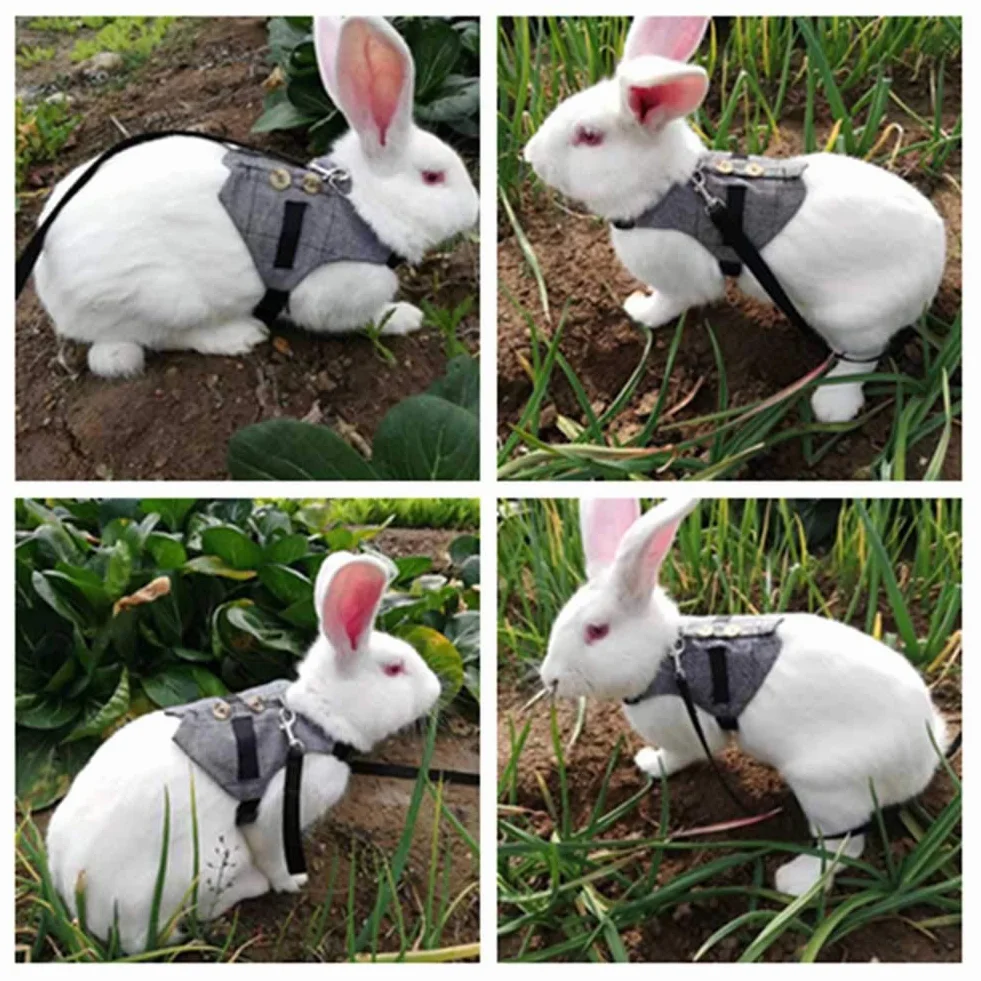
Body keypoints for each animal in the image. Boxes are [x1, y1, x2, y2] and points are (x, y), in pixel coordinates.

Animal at [31, 16, 479, 378]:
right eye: (433, 177)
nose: (475, 210)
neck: (360, 207)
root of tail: (48, 278)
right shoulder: (328, 294)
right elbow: (361, 318)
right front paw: (406, 316)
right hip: (162, 298)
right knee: (162, 338)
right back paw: (240, 336)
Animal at [45, 551, 442, 954]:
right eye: (394, 669)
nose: (437, 689)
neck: (314, 720)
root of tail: (77, 897)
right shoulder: (278, 814)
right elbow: (275, 859)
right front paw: (292, 883)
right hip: (207, 865)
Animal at [523, 16, 946, 423]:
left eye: (589, 136)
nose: (530, 156)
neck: (667, 189)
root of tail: (936, 262)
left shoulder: (679, 280)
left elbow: (669, 302)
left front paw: (640, 312)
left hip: (854, 320)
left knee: (860, 359)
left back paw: (832, 406)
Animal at [540, 497, 951, 897]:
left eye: (596, 631)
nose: (549, 678)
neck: (665, 657)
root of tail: (925, 755)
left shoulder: (688, 733)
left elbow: (679, 756)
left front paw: (651, 764)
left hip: (826, 787)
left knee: (842, 846)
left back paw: (793, 882)